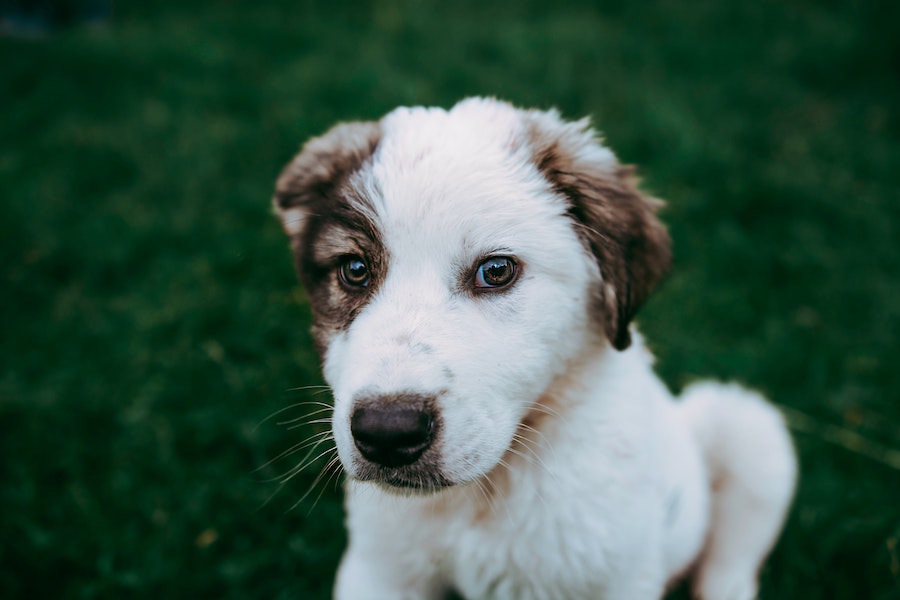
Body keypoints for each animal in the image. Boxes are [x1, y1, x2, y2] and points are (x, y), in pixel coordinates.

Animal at [272, 98, 796, 600]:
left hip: (747, 429)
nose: (387, 433)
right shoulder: (380, 570)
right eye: (355, 269)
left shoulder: (618, 578)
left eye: (496, 270)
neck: (487, 490)